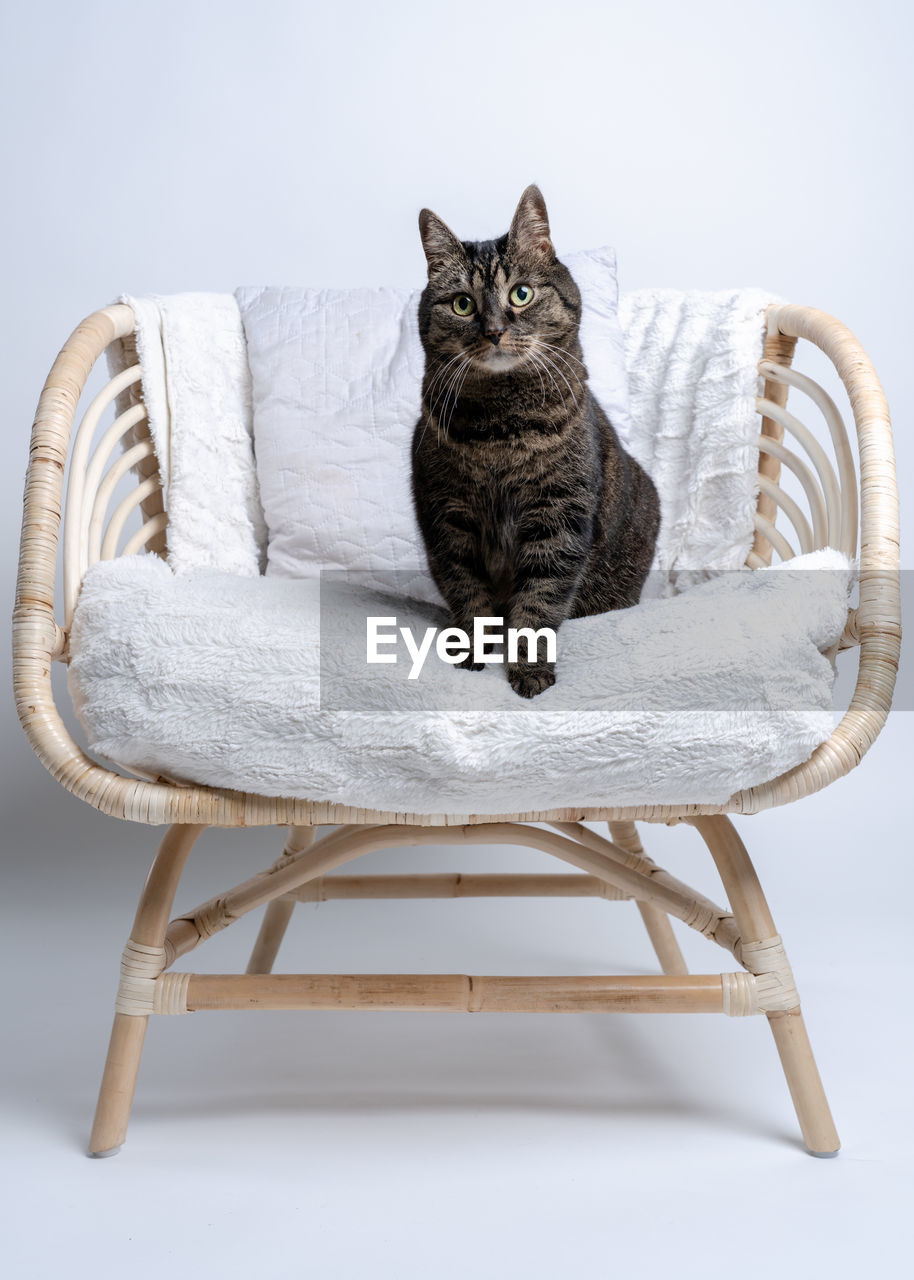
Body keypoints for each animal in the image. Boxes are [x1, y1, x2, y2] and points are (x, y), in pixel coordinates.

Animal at [412, 185, 655, 696]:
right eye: (462, 304)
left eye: (520, 294)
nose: (494, 331)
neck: (501, 431)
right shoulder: (448, 515)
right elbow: (468, 591)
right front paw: (473, 652)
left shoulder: (559, 516)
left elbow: (540, 601)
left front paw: (529, 669)